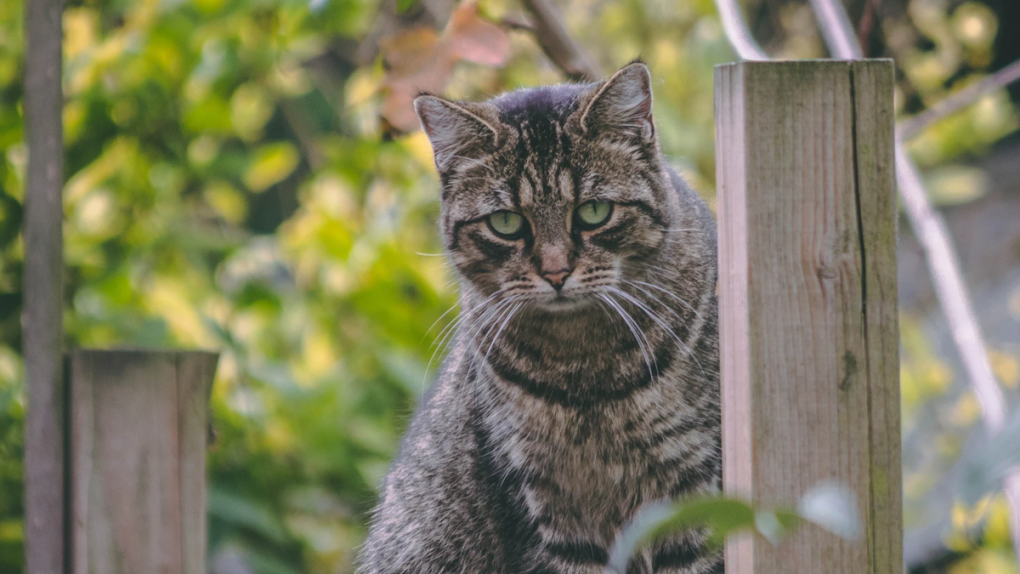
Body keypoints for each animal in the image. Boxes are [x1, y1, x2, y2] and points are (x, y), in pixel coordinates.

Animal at [363, 62, 722, 574]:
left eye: (593, 211)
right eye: (506, 223)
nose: (555, 272)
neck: (586, 374)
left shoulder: (693, 489)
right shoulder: (544, 509)